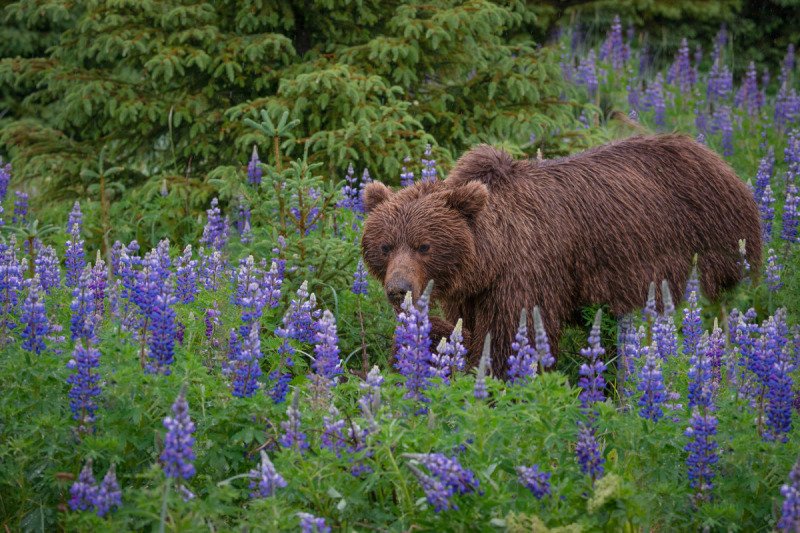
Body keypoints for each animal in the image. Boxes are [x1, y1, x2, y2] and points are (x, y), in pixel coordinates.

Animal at [362, 134, 764, 374]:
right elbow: (466, 329)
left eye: (424, 245)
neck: (489, 257)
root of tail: (716, 159)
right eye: (385, 246)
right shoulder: (473, 293)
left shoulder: (527, 271)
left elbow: (511, 334)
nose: (398, 289)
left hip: (710, 248)